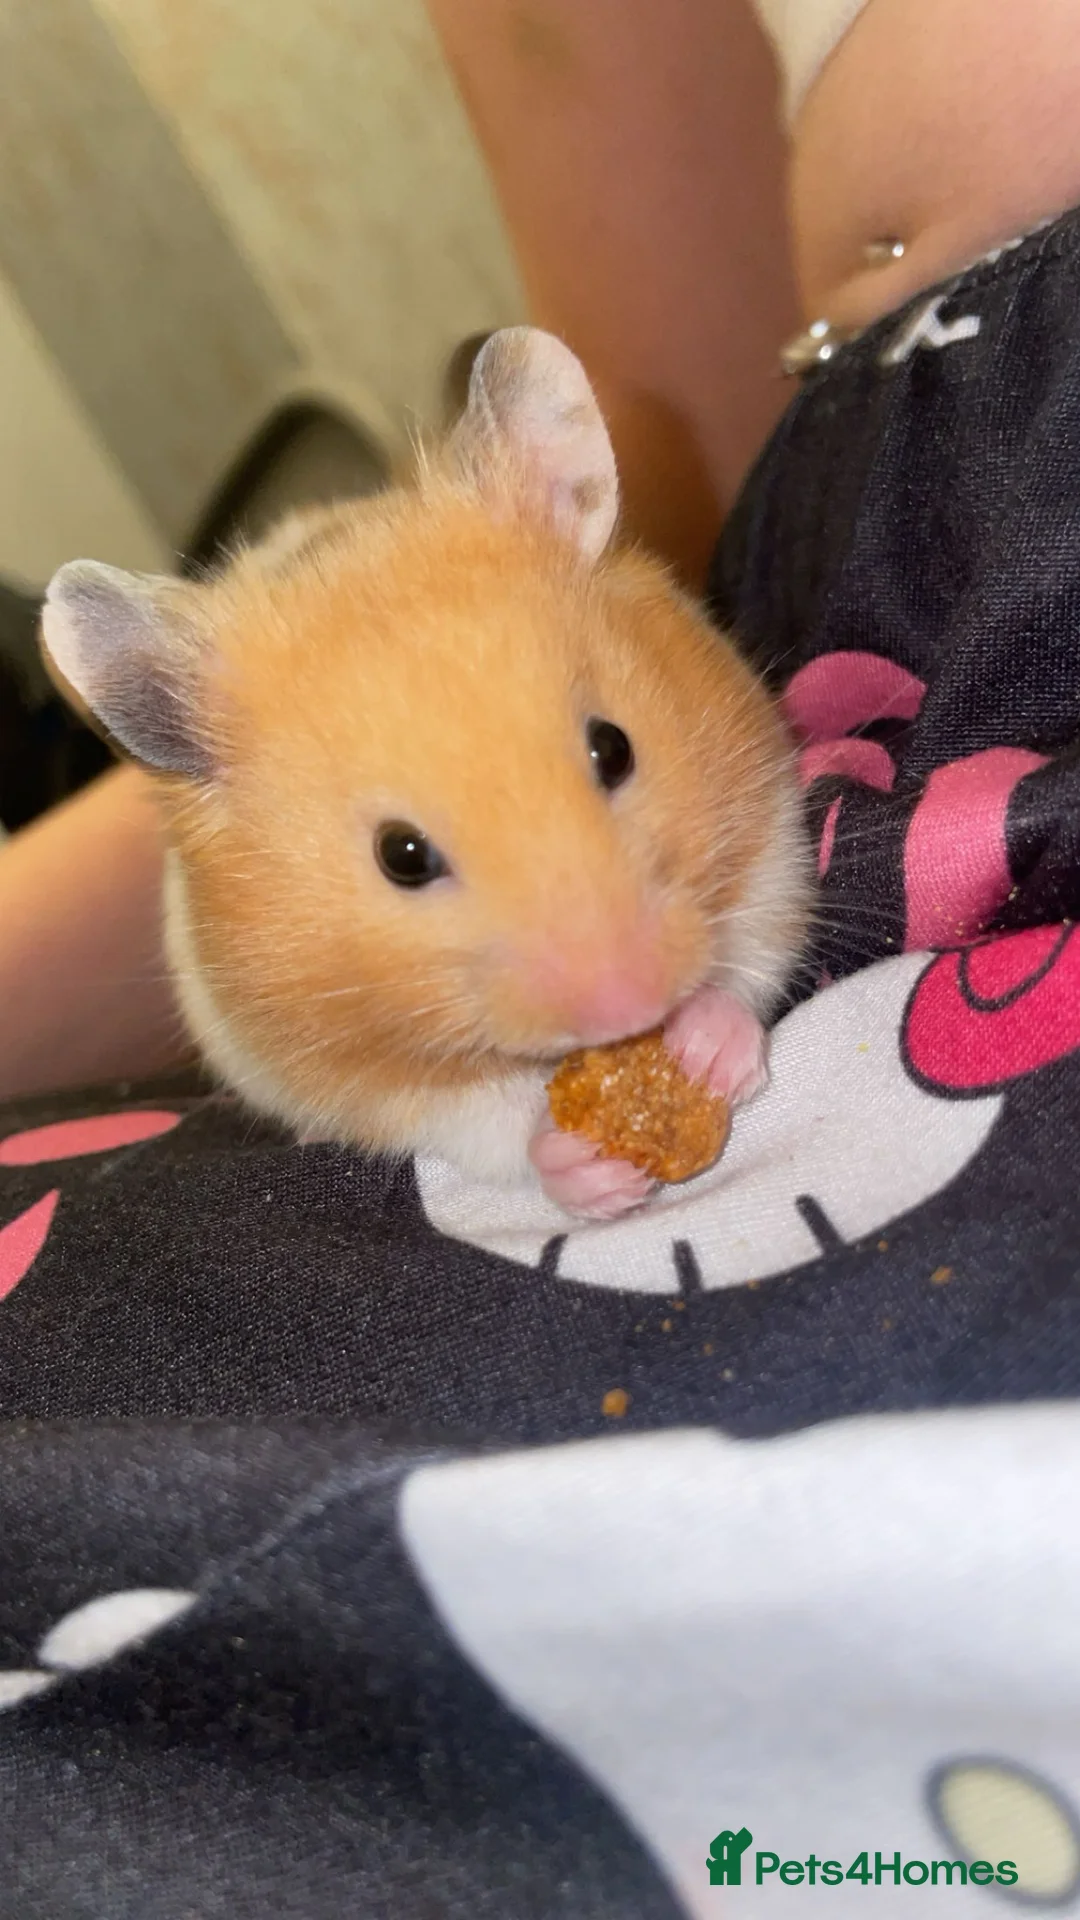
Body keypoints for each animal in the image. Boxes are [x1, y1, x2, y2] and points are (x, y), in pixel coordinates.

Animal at [41, 327, 811, 1220]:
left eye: (614, 749)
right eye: (401, 857)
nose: (632, 1006)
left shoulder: (770, 830)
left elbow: (751, 946)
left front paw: (706, 1049)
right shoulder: (338, 1070)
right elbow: (484, 1121)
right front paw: (586, 1169)